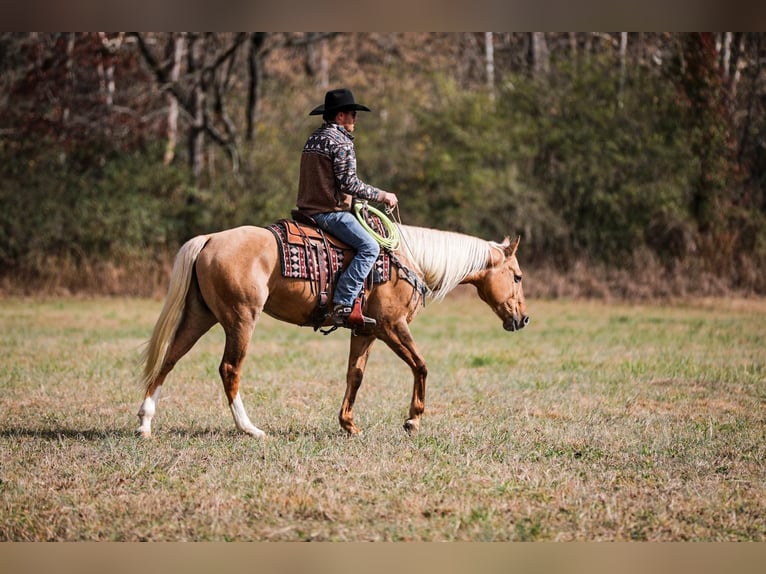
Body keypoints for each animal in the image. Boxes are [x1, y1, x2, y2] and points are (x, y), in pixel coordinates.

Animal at [136, 223, 528, 438]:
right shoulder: (392, 326)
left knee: (169, 359)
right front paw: (413, 420)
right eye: (518, 276)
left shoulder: (366, 332)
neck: (409, 259)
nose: (523, 319)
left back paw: (145, 424)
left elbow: (355, 375)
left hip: (200, 316)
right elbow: (421, 366)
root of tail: (211, 238)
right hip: (240, 319)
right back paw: (250, 429)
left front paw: (348, 424)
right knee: (230, 369)